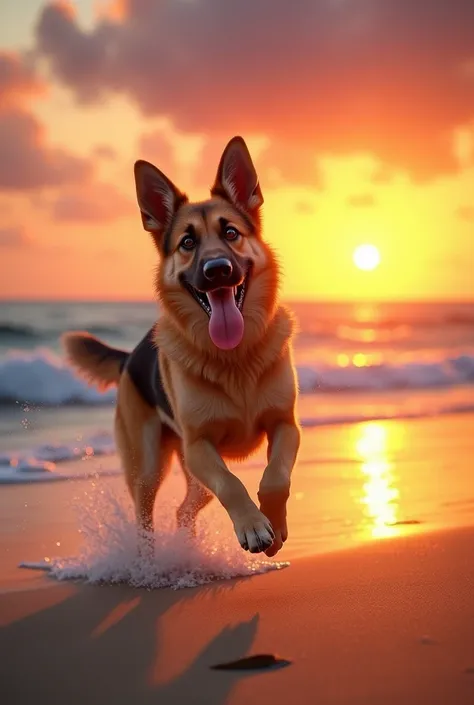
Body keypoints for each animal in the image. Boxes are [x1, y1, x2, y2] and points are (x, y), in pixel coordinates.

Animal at [63, 136, 300, 556]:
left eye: (231, 233)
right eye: (188, 242)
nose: (217, 270)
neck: (235, 358)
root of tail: (130, 357)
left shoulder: (286, 425)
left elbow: (276, 476)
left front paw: (275, 524)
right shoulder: (199, 445)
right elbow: (231, 484)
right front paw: (254, 525)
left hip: (191, 477)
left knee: (184, 510)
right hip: (148, 468)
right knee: (146, 516)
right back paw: (149, 562)